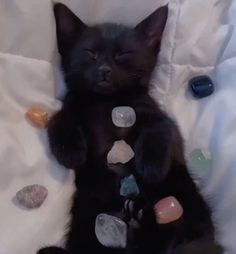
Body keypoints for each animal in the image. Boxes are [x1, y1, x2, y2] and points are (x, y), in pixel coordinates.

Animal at [38, 3, 216, 254]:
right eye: (90, 53)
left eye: (123, 54)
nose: (104, 69)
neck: (107, 102)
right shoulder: (72, 103)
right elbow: (58, 117)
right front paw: (70, 150)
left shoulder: (156, 115)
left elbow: (161, 127)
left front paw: (150, 165)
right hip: (85, 215)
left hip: (184, 200)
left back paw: (139, 220)